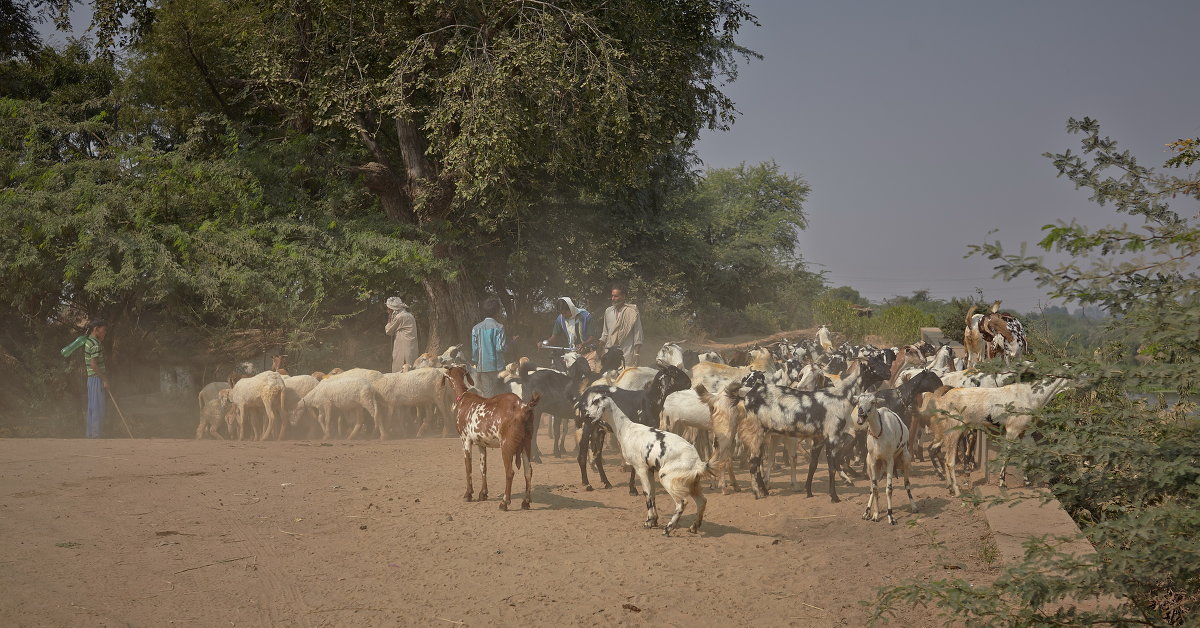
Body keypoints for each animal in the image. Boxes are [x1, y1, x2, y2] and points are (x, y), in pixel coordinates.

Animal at [444, 369, 542, 511]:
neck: (464, 399)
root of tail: (524, 407)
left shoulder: (465, 440)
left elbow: (468, 467)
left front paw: (468, 494)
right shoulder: (481, 443)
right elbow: (483, 467)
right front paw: (483, 494)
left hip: (507, 445)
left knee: (510, 472)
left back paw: (504, 503)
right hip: (526, 444)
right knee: (528, 471)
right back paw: (526, 502)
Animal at [580, 386, 710, 537]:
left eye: (595, 402)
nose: (585, 415)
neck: (626, 429)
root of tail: (697, 462)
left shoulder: (640, 468)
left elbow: (646, 494)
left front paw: (648, 521)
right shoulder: (650, 470)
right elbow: (652, 494)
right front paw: (654, 521)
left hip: (667, 478)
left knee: (682, 503)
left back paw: (668, 528)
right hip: (692, 484)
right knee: (702, 502)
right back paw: (694, 527)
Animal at [854, 393, 916, 525]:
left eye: (873, 402)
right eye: (858, 401)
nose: (861, 411)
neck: (879, 434)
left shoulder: (889, 461)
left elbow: (889, 489)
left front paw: (890, 516)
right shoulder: (873, 462)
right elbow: (875, 488)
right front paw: (875, 514)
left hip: (905, 460)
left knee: (907, 484)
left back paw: (913, 506)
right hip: (873, 466)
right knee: (872, 488)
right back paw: (867, 512)